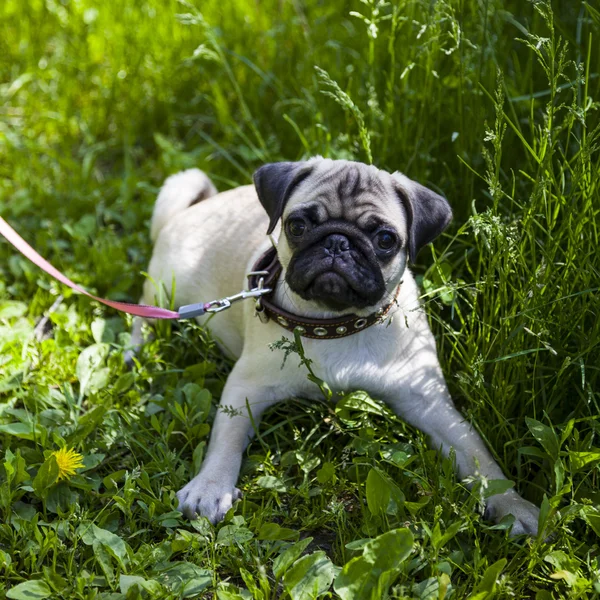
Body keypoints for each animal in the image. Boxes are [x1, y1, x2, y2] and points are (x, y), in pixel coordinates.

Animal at [134, 158, 540, 536]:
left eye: (385, 240)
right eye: (297, 226)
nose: (337, 242)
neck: (336, 324)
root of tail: (190, 210)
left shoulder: (430, 403)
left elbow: (477, 455)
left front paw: (513, 504)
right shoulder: (245, 388)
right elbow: (226, 438)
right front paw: (210, 486)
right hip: (166, 288)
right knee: (143, 315)